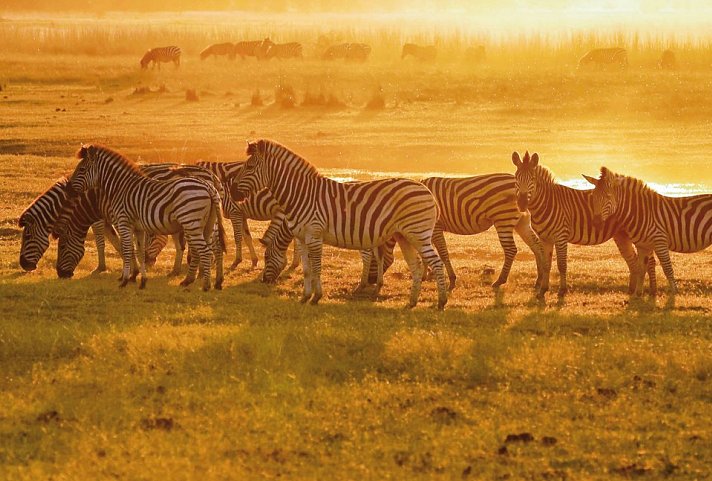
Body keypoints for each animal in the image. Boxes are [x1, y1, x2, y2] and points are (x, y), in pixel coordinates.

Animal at [67, 144, 224, 290]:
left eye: (81, 170)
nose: (69, 189)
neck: (120, 187)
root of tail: (209, 185)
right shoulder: (138, 227)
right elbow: (139, 252)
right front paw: (141, 280)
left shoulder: (123, 222)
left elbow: (125, 248)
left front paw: (124, 279)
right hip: (206, 224)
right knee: (211, 248)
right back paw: (205, 280)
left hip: (191, 222)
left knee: (206, 251)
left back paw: (205, 285)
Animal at [231, 138, 448, 308]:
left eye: (249, 167)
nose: (264, 281)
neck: (301, 195)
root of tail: (426, 190)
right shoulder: (301, 238)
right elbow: (307, 269)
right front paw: (304, 297)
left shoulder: (314, 235)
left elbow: (317, 267)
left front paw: (316, 297)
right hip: (404, 236)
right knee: (416, 265)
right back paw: (412, 302)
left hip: (418, 234)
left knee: (436, 263)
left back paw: (441, 302)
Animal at [512, 150, 652, 296]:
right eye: (516, 178)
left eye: (532, 179)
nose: (522, 203)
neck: (546, 203)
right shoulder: (545, 239)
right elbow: (546, 264)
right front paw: (543, 290)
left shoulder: (561, 237)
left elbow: (562, 265)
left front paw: (562, 290)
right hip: (623, 236)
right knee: (634, 261)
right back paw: (632, 290)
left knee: (648, 262)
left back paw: (650, 290)